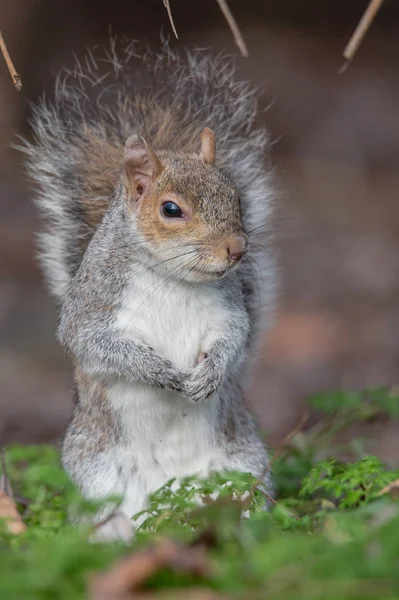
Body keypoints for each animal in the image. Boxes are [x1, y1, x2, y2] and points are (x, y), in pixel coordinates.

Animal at [21, 38, 278, 544]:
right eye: (171, 209)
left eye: (236, 197)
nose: (237, 249)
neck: (172, 277)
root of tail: (170, 509)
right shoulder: (94, 304)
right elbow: (93, 343)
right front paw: (162, 373)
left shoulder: (228, 309)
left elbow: (234, 337)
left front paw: (209, 375)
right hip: (95, 475)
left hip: (244, 465)